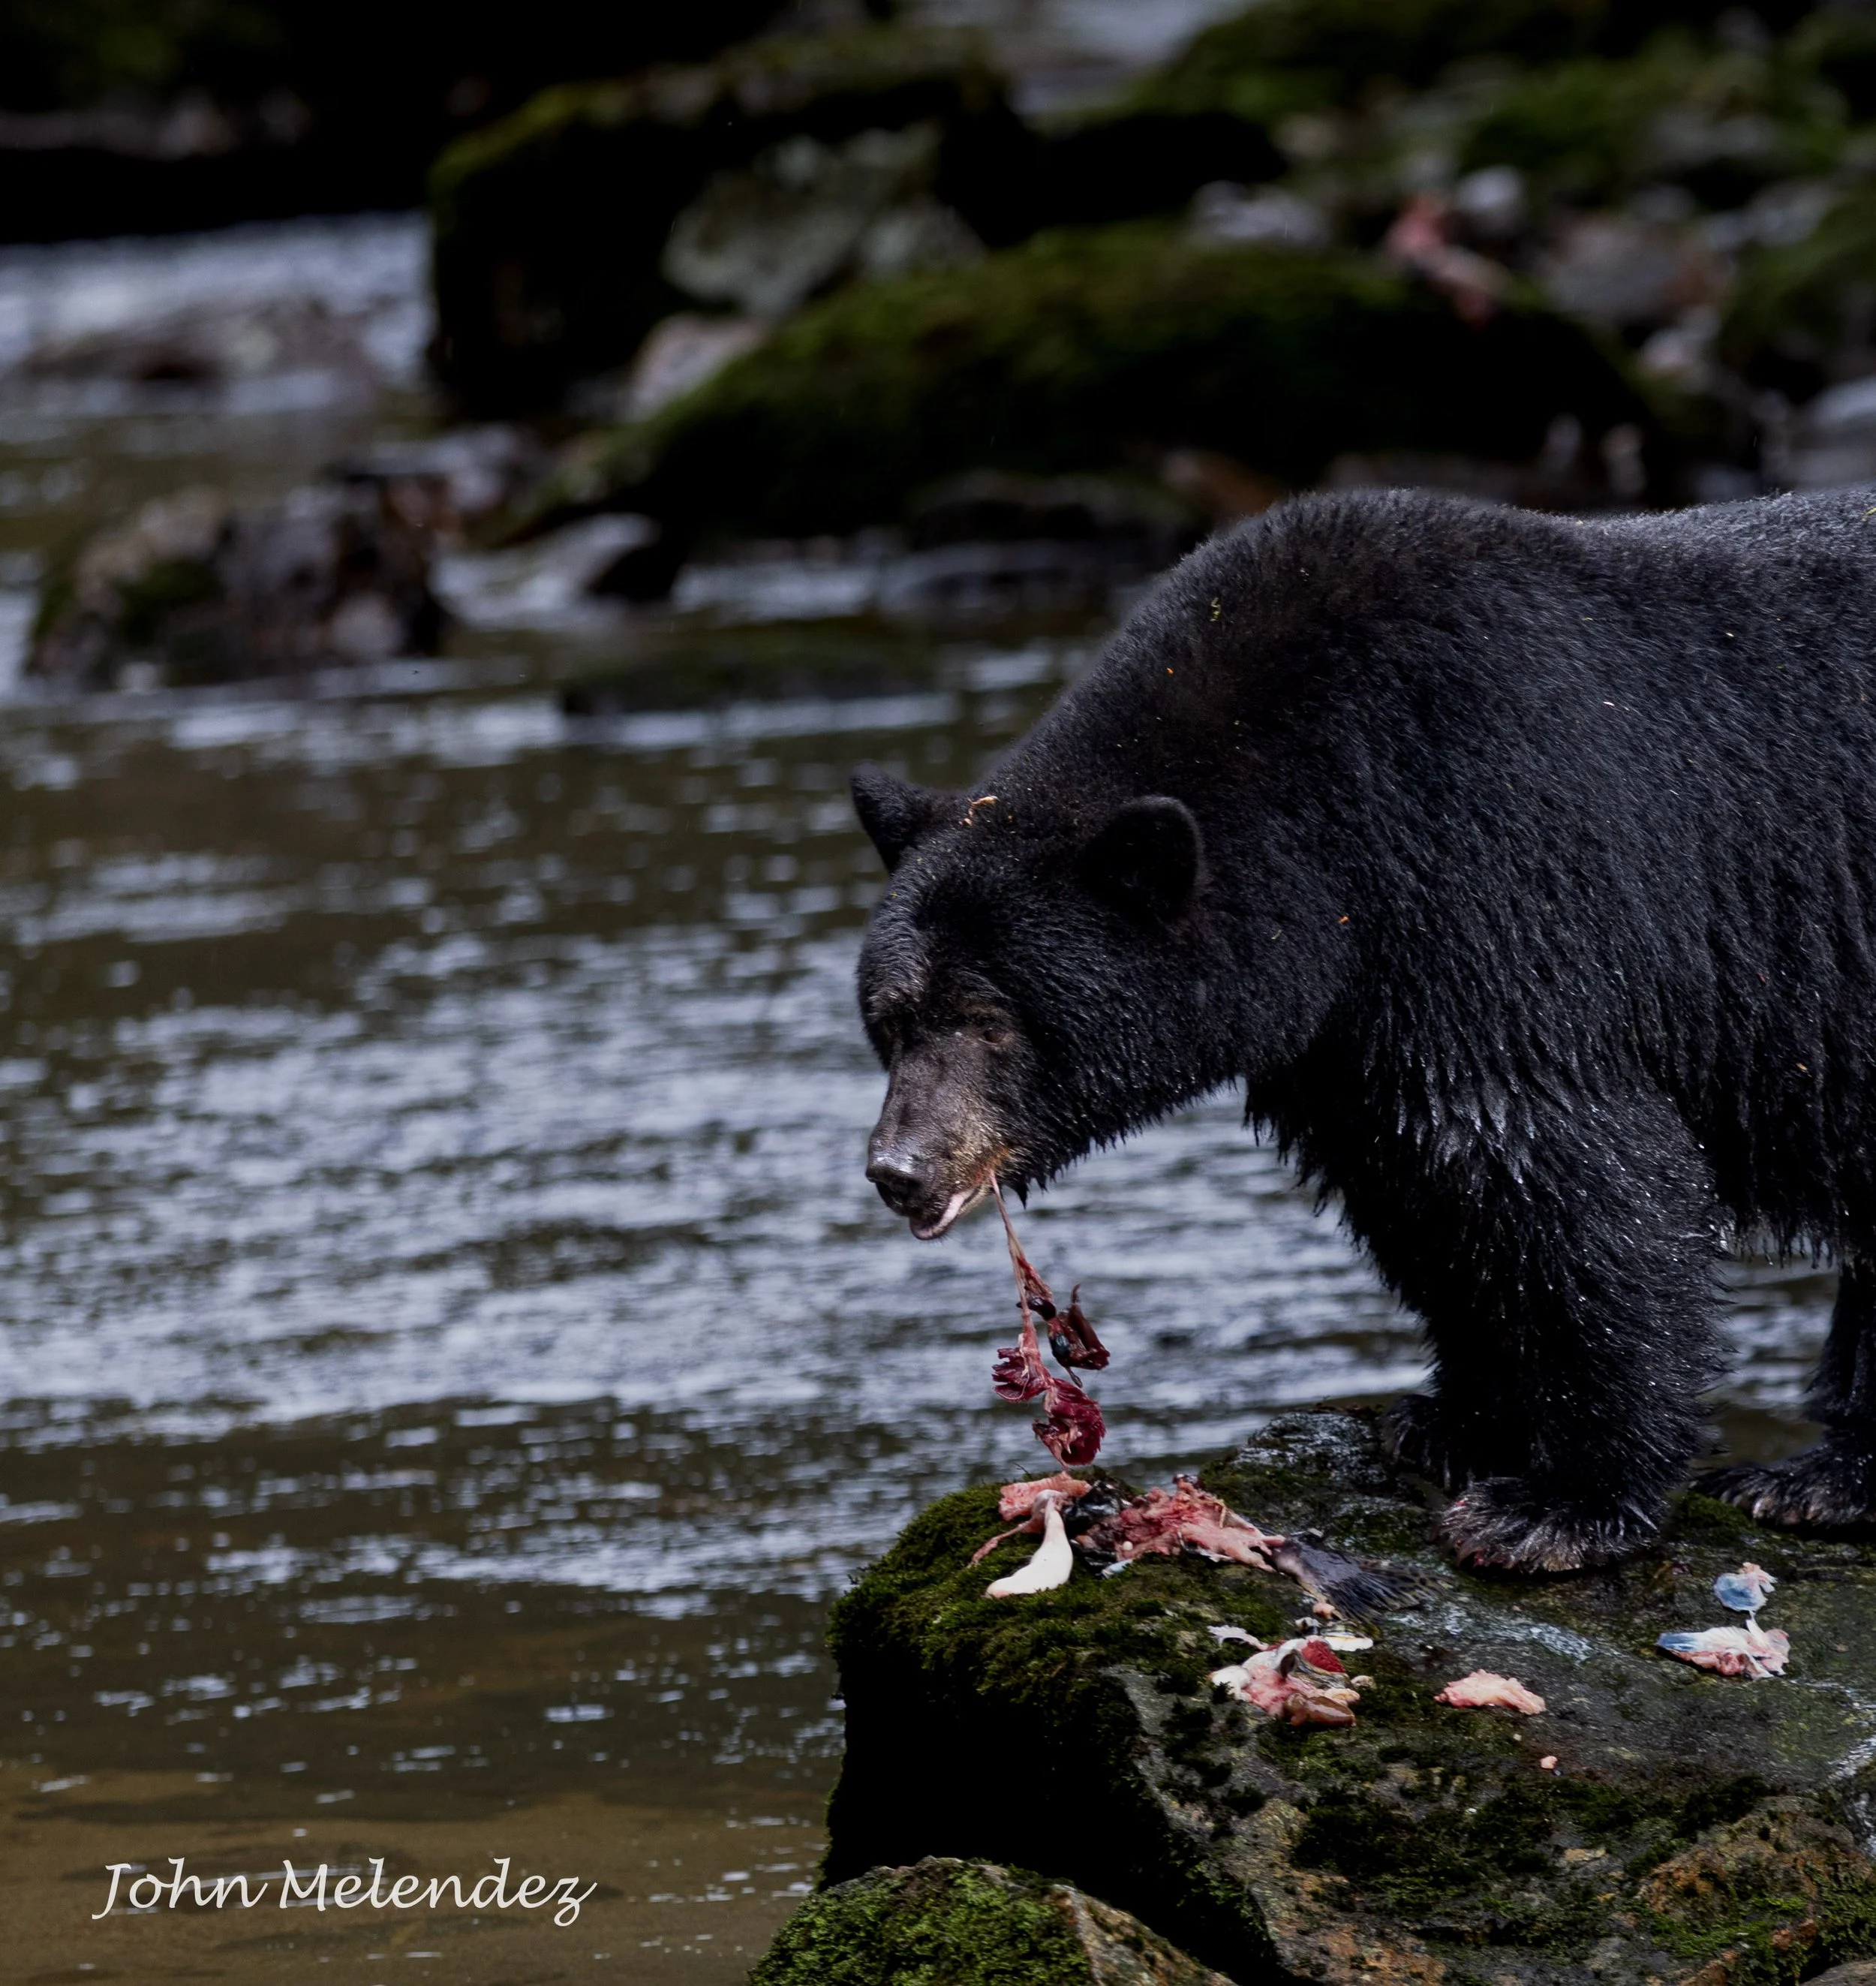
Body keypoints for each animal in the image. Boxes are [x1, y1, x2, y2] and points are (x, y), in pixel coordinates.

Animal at [851, 485, 1876, 1573]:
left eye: (991, 1019)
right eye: (890, 1017)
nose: (899, 1168)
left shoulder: (1497, 878)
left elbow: (1563, 1171)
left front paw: (1560, 1501)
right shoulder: (1353, 1021)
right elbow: (1415, 1183)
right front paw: (1455, 1418)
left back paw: (1818, 1479)